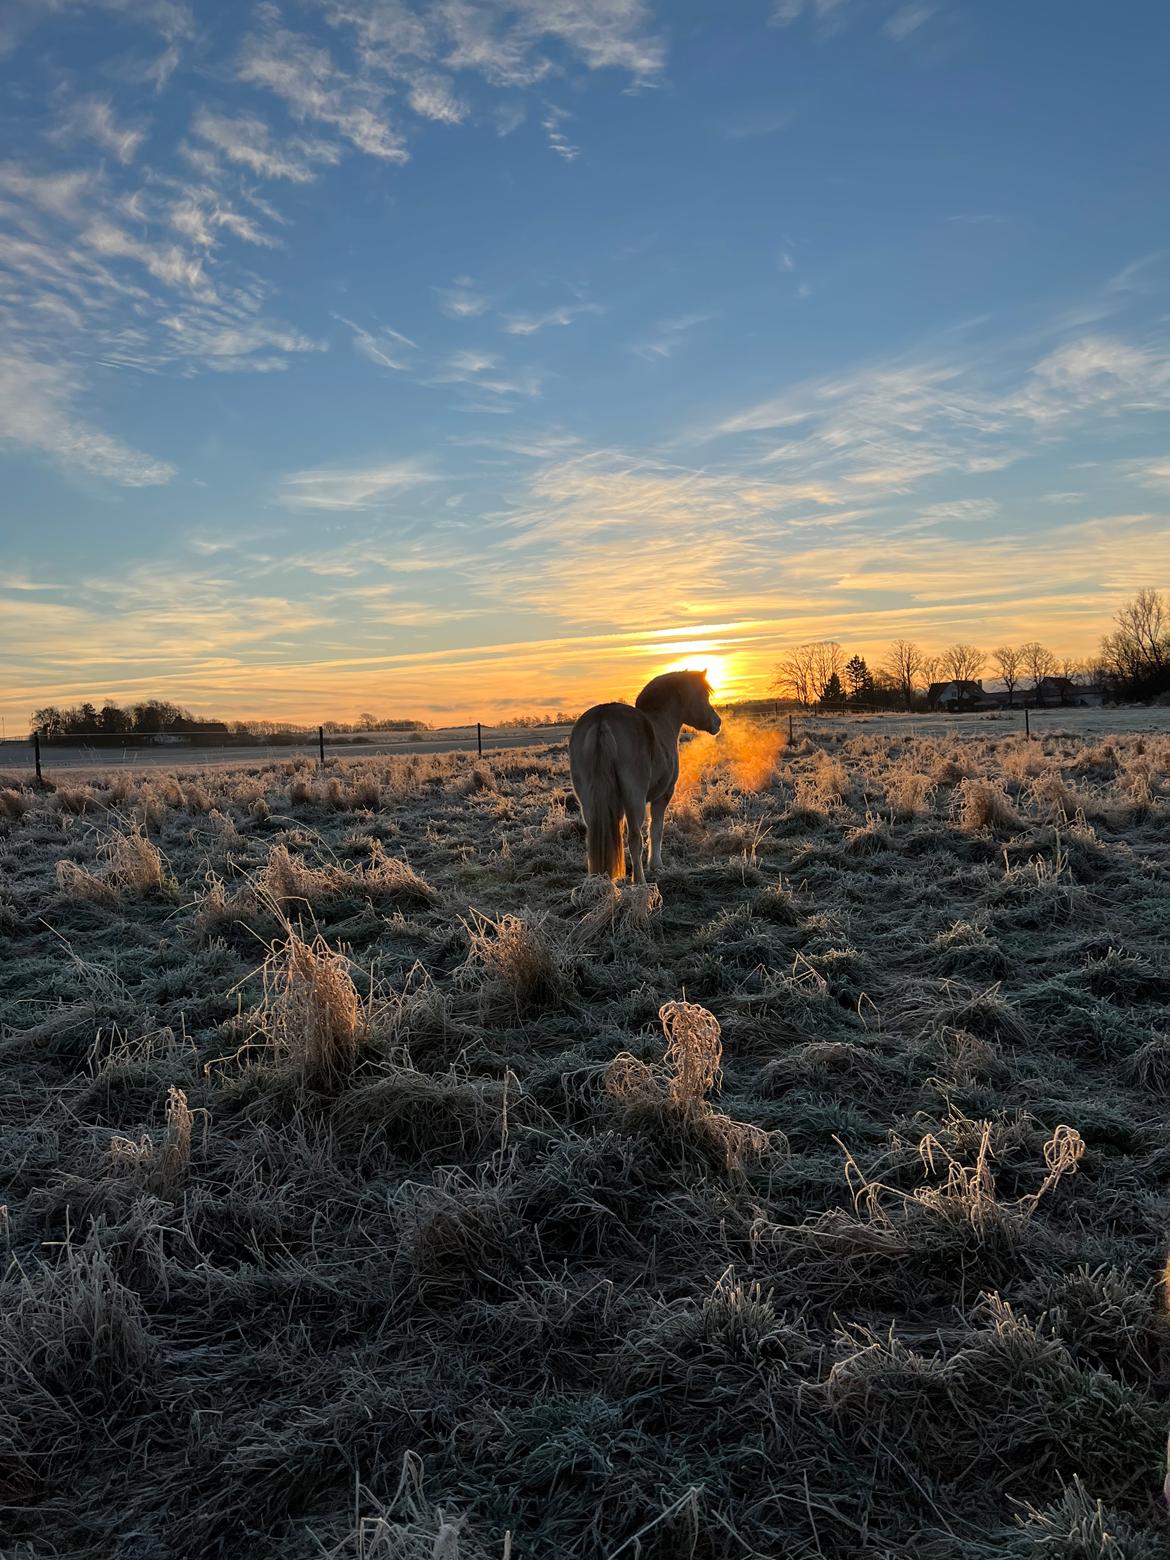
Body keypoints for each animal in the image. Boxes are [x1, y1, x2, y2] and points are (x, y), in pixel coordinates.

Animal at [570, 670, 723, 886]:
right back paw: (640, 882)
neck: (662, 720)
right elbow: (656, 830)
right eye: (704, 695)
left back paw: (597, 880)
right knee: (635, 837)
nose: (717, 722)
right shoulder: (662, 796)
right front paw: (656, 864)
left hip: (588, 800)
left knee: (593, 834)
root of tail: (603, 719)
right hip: (635, 798)